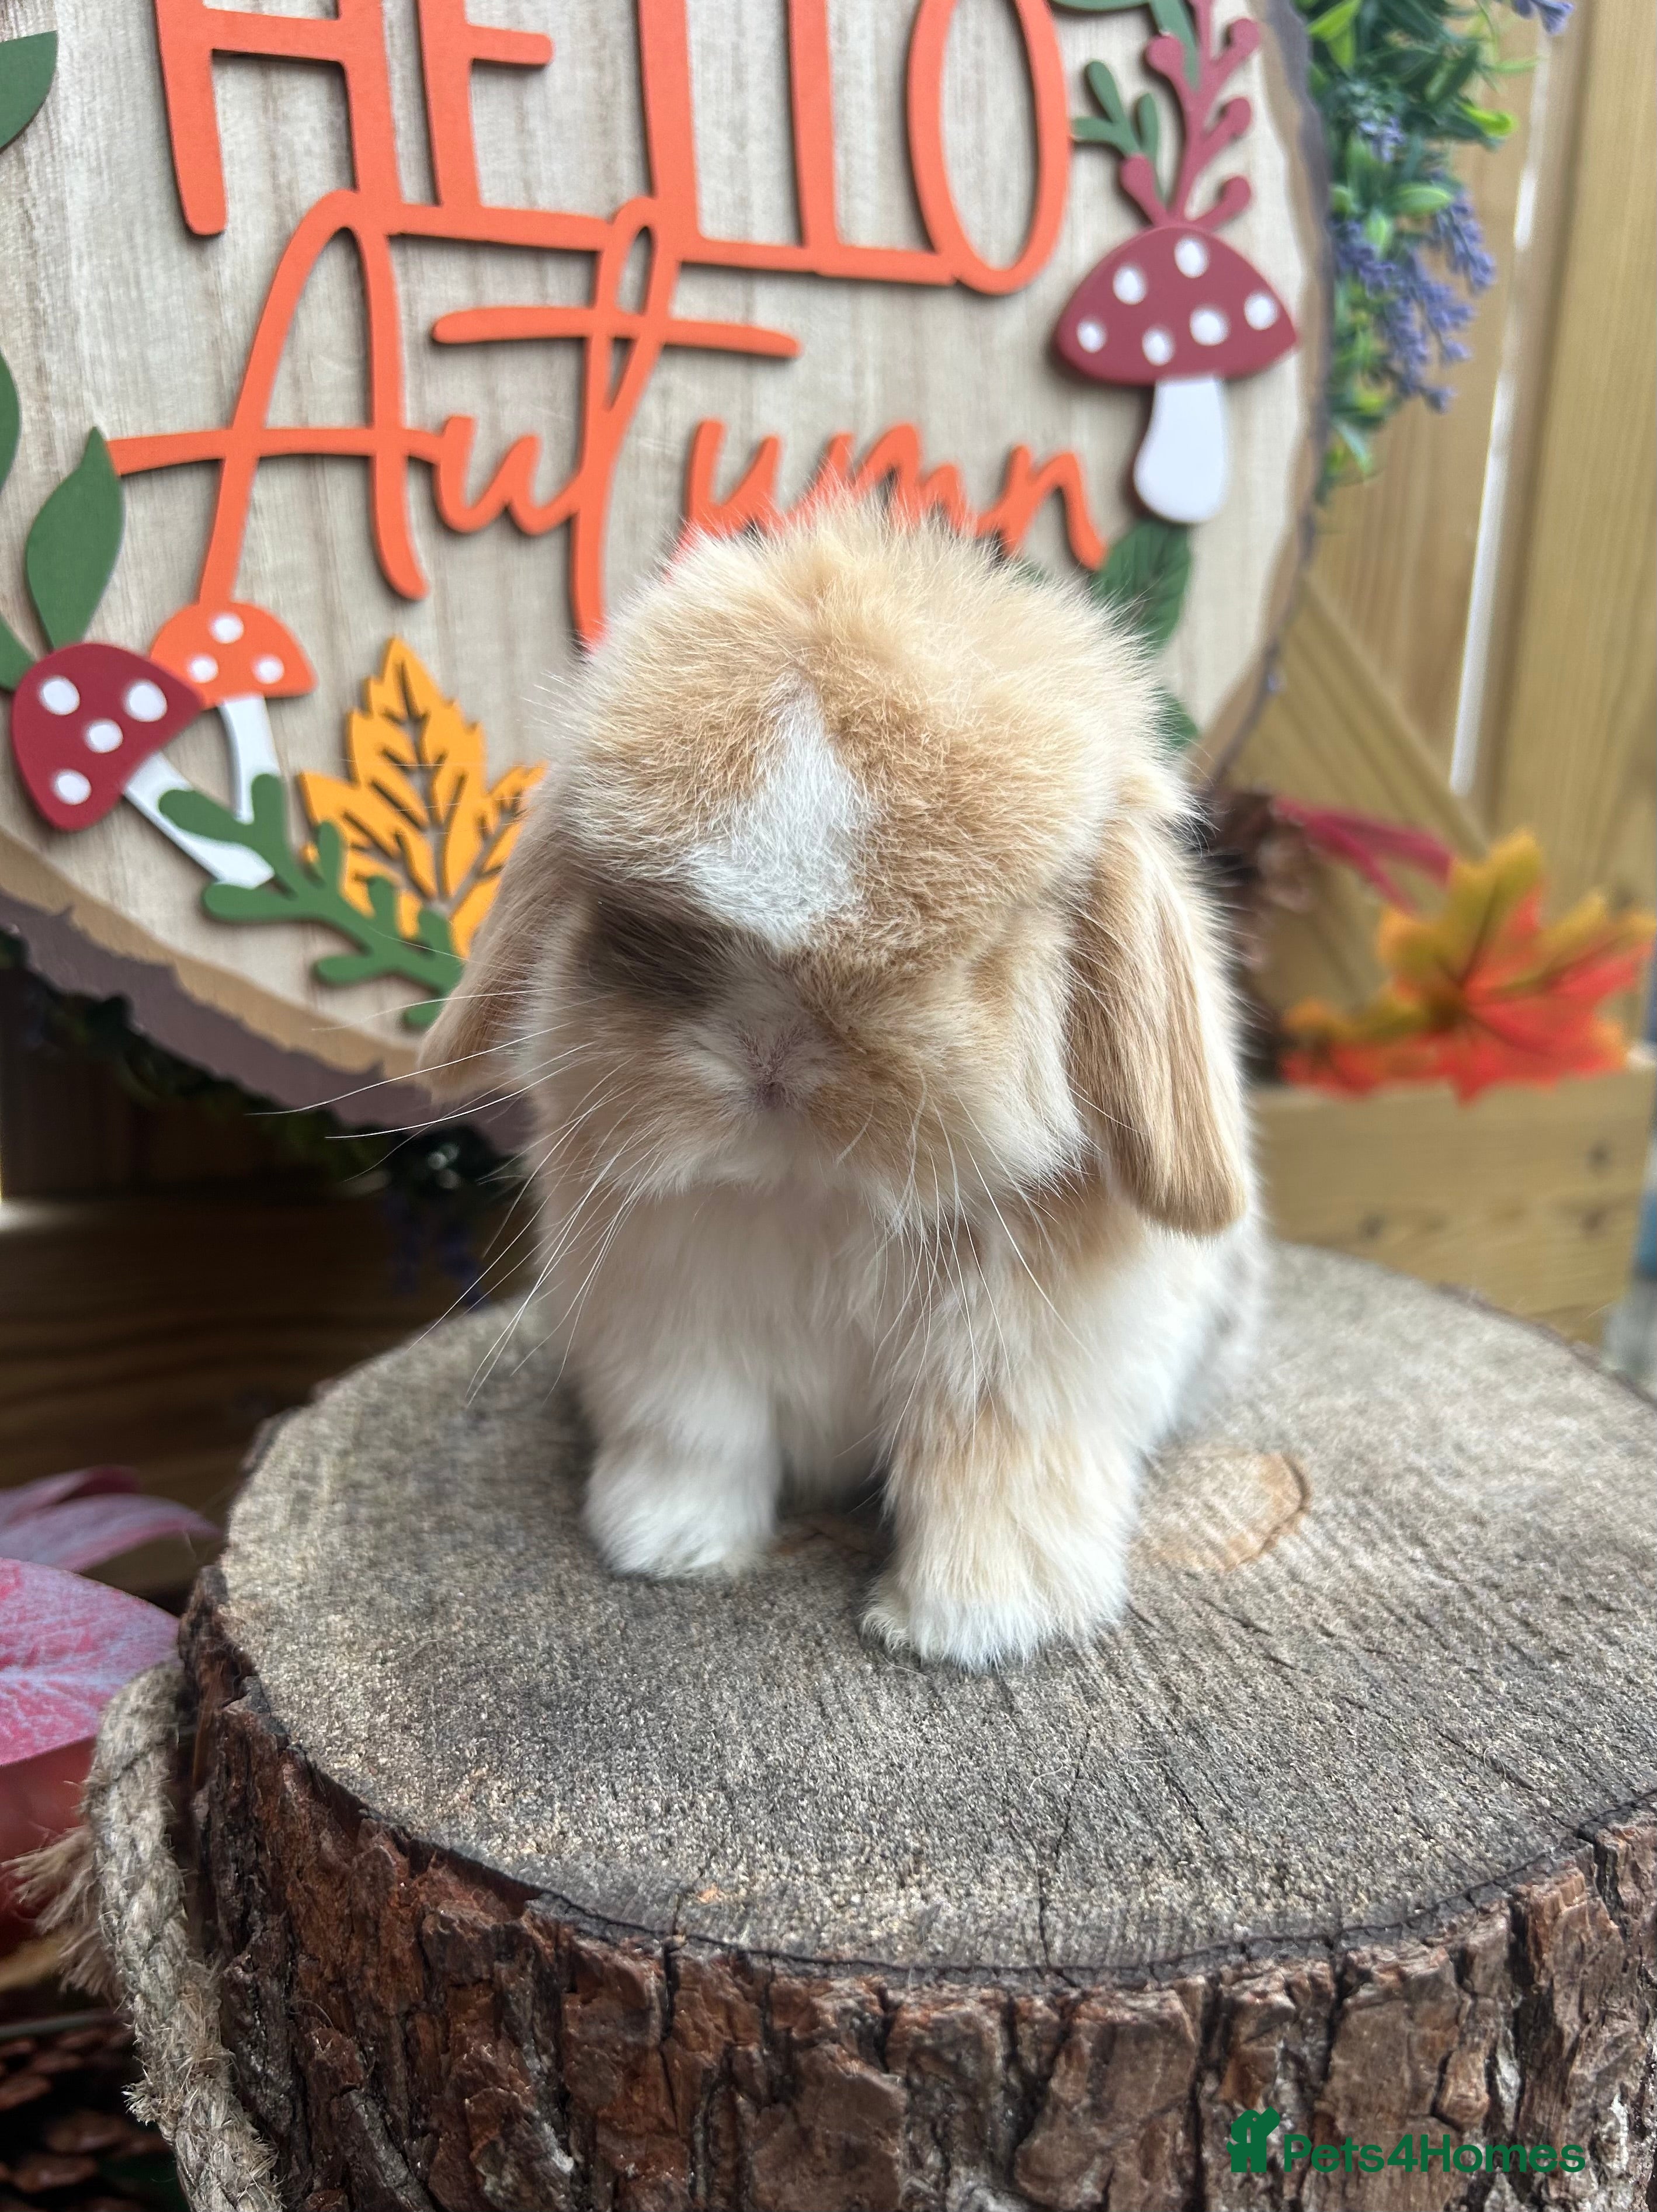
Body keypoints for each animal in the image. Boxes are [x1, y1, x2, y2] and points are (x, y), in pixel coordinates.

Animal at [418, 502, 1262, 1669]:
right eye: (644, 927)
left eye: (986, 950)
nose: (771, 1051)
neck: (819, 1194)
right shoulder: (678, 1345)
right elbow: (701, 1446)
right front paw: (669, 1548)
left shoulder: (1011, 1382)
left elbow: (984, 1486)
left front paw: (967, 1627)